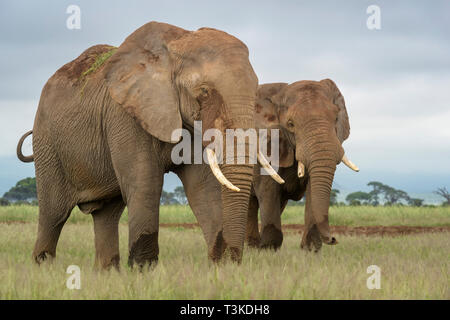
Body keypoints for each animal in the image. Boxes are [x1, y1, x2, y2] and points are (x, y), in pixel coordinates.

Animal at [16, 21, 282, 268]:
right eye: (204, 91)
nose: (232, 258)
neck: (175, 46)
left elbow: (202, 188)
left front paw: (219, 268)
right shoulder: (125, 114)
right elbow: (145, 182)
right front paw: (143, 271)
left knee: (107, 215)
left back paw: (107, 273)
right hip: (48, 143)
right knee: (53, 214)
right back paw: (43, 267)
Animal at [246, 80, 358, 252]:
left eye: (335, 118)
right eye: (290, 124)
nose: (333, 239)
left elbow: (313, 188)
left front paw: (310, 251)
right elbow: (268, 189)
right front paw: (267, 251)